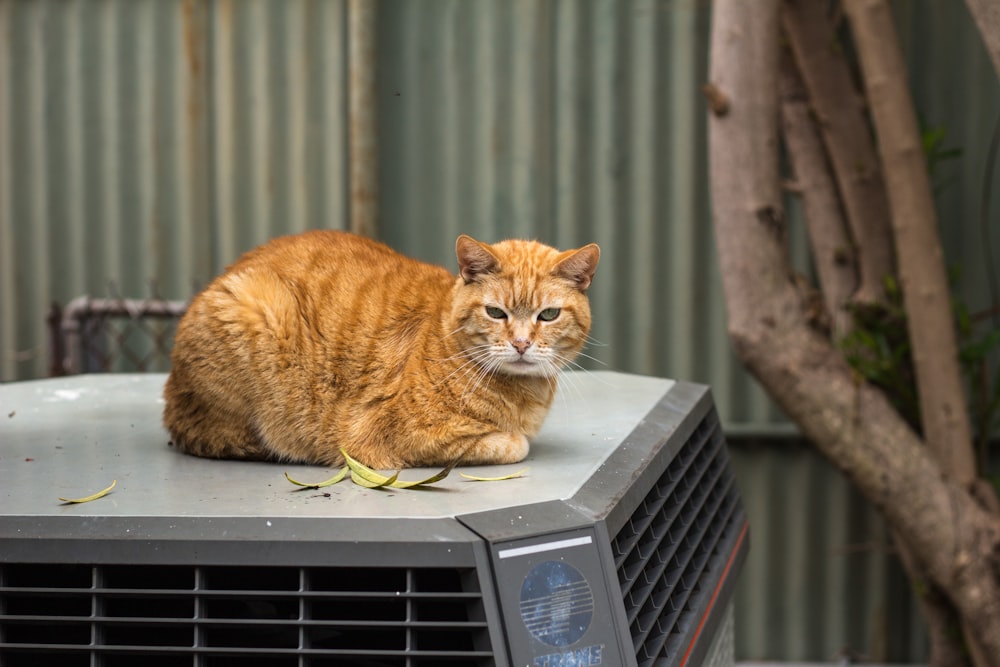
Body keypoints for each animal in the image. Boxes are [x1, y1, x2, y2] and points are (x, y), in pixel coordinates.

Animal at [163, 232, 596, 468]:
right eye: (495, 312)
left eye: (548, 315)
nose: (521, 344)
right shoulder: (397, 438)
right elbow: (514, 445)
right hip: (254, 308)